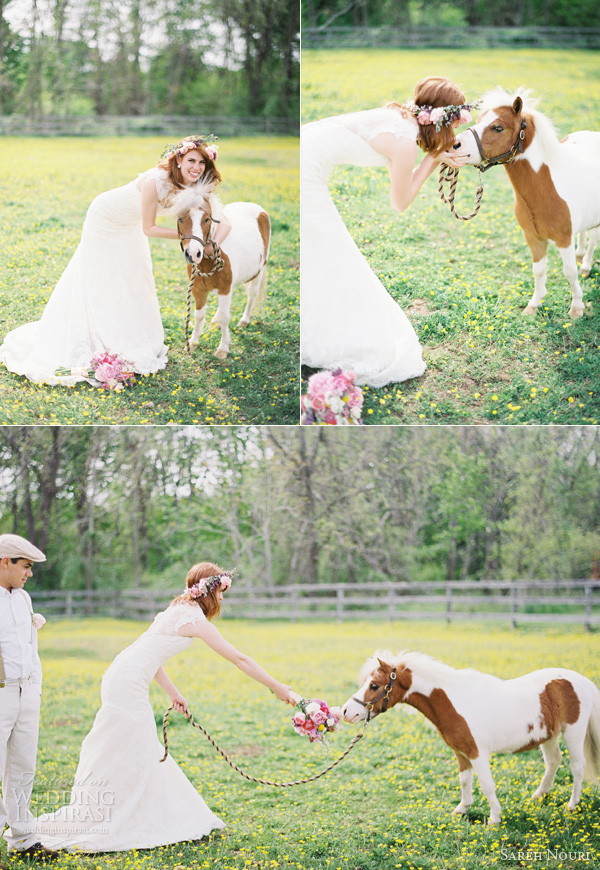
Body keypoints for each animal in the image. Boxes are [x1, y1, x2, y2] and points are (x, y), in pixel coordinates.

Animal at [172, 186, 268, 360]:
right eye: (180, 219)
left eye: (206, 219)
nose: (193, 253)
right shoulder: (198, 290)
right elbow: (198, 316)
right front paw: (193, 342)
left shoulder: (224, 289)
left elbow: (225, 318)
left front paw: (223, 348)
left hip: (259, 272)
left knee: (252, 294)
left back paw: (244, 320)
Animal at [342, 656, 600, 824]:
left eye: (374, 685)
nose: (346, 712)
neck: (455, 701)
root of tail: (583, 681)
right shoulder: (461, 751)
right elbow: (465, 780)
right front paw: (461, 810)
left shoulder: (478, 753)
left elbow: (487, 784)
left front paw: (494, 819)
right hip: (549, 735)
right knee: (553, 761)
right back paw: (537, 797)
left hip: (573, 733)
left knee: (577, 767)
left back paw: (571, 805)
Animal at [450, 88, 600, 318]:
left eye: (498, 127)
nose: (454, 145)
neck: (545, 188)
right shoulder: (533, 238)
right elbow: (538, 270)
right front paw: (533, 305)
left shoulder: (563, 240)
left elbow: (569, 272)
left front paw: (577, 307)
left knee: (592, 240)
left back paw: (585, 266)